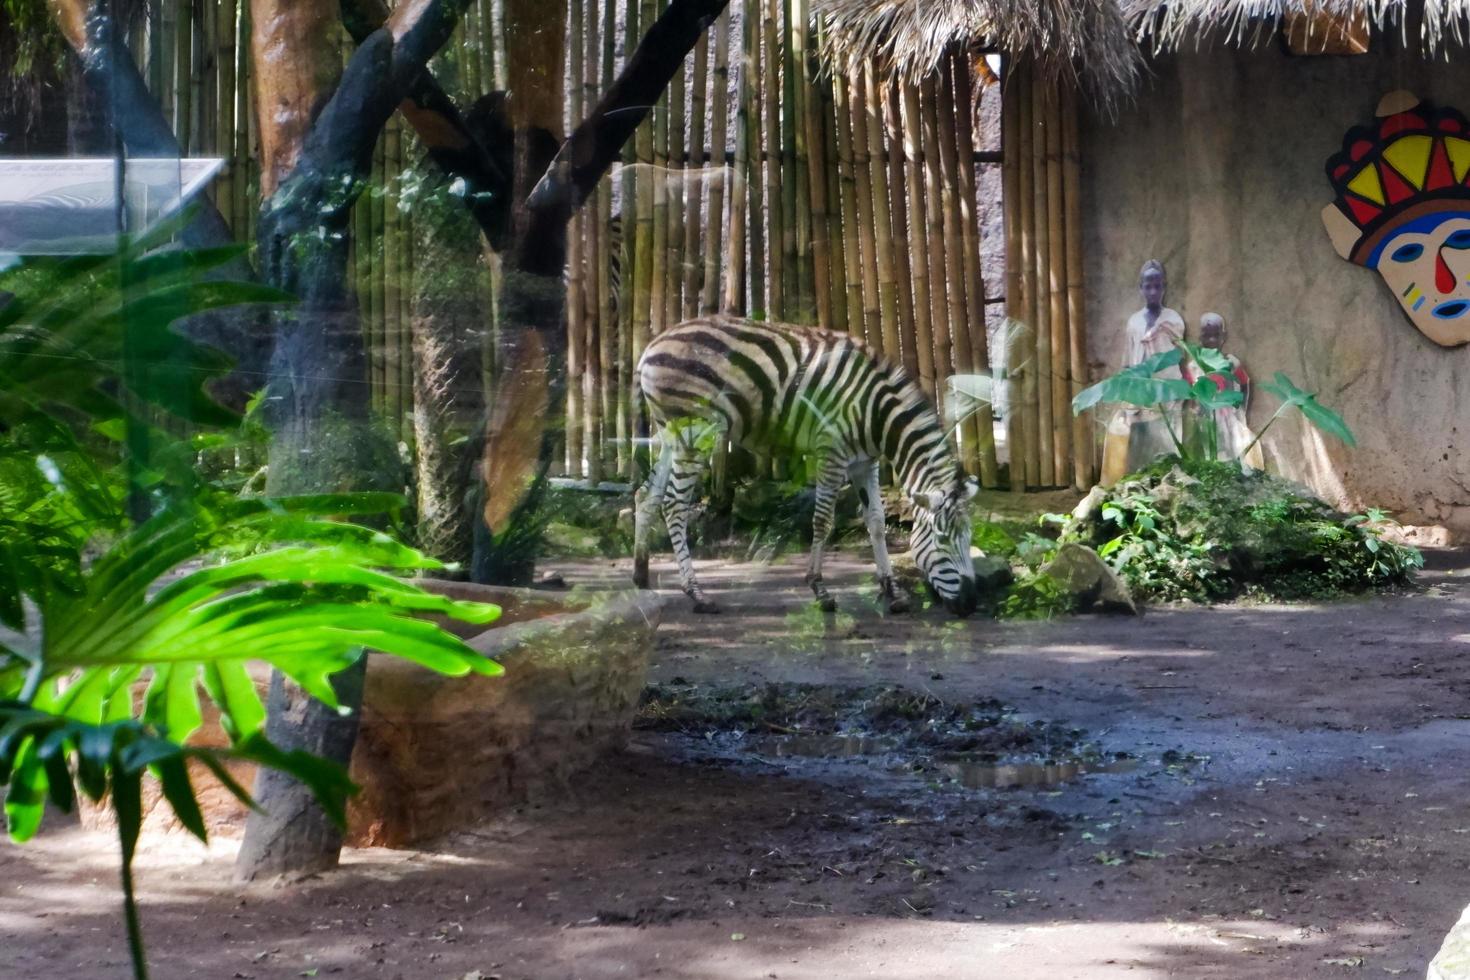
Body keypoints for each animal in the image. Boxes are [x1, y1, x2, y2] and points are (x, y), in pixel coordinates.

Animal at [629, 314, 981, 617]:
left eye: (968, 538)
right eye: (942, 540)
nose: (969, 604)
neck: (876, 413)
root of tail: (651, 346)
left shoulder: (864, 462)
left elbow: (877, 522)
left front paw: (893, 592)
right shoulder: (831, 454)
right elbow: (823, 521)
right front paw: (820, 590)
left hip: (670, 434)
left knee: (646, 497)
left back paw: (640, 576)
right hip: (694, 431)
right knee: (674, 506)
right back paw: (696, 594)